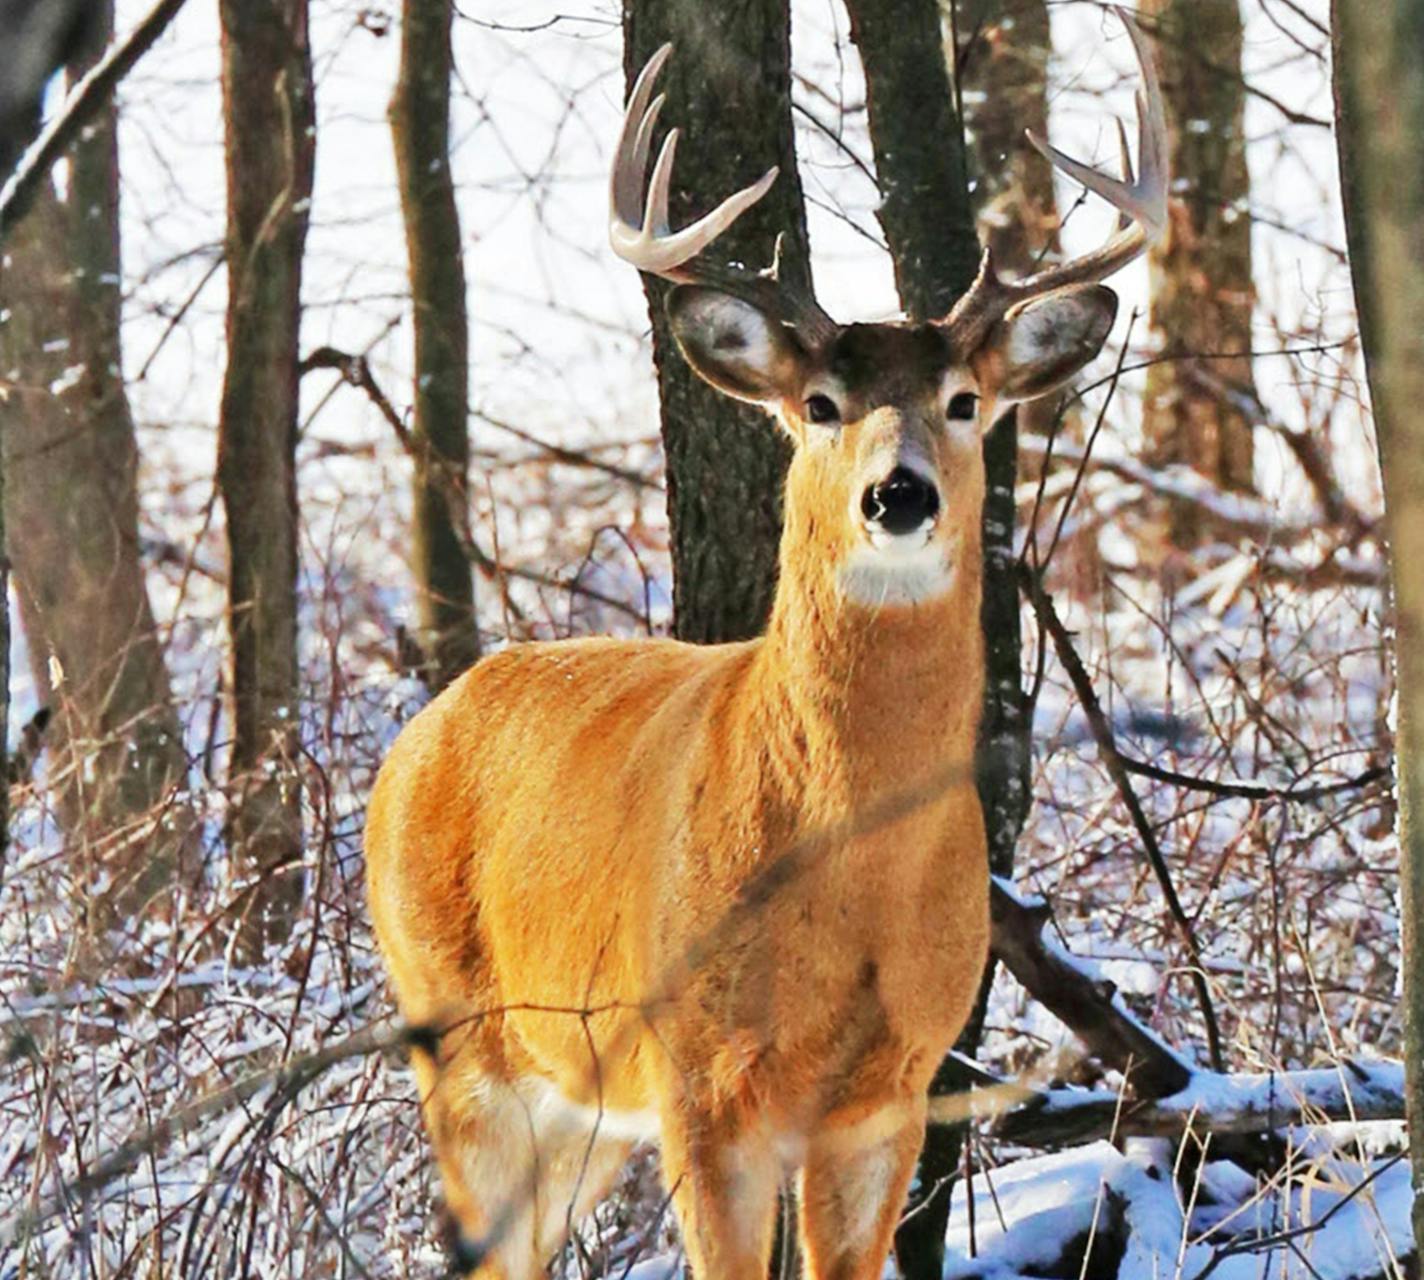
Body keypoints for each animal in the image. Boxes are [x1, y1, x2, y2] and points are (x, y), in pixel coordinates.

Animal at [370, 15, 1167, 1280]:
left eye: (961, 398)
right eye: (821, 402)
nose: (898, 495)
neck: (847, 869)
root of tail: (417, 733)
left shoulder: (891, 1089)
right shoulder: (700, 1074)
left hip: (582, 1105)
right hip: (459, 1040)